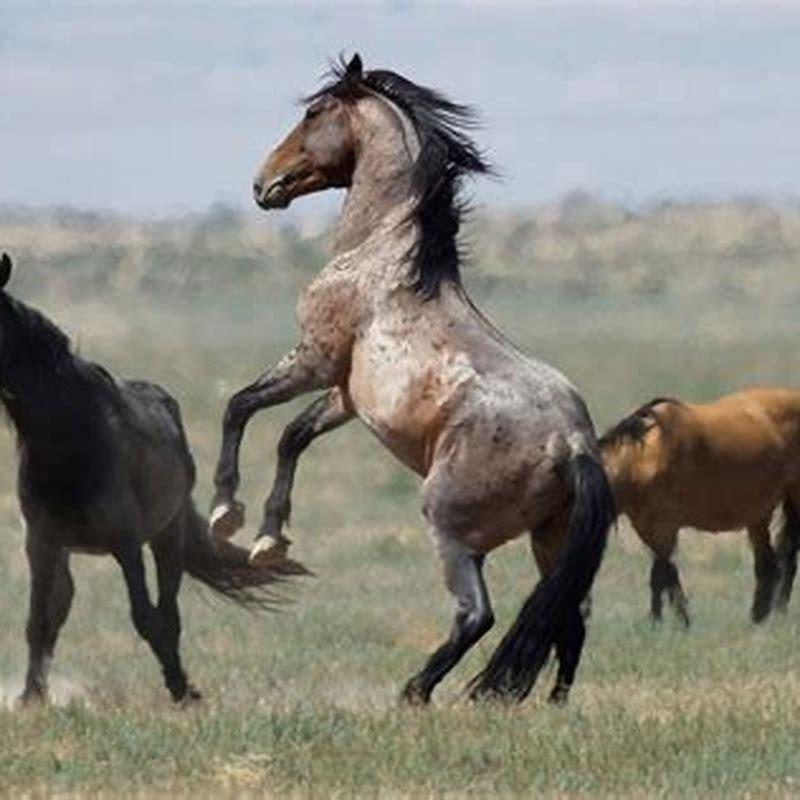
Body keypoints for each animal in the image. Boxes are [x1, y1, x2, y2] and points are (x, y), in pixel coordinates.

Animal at [0, 254, 303, 705]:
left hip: (166, 536)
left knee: (168, 611)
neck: (73, 436)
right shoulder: (41, 542)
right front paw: (29, 698)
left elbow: (146, 617)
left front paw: (182, 688)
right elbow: (38, 620)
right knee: (61, 606)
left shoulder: (126, 543)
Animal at [208, 54, 615, 705]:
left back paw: (416, 692)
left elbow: (240, 407)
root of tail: (574, 445)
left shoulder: (314, 361)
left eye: (314, 113)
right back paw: (548, 706)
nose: (262, 183)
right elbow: (292, 437)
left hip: (449, 526)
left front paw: (226, 511)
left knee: (478, 616)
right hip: (548, 542)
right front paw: (270, 539)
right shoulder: (345, 396)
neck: (384, 255)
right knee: (567, 618)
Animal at [599, 390, 800, 625]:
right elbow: (666, 574)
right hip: (758, 514)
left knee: (787, 556)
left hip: (793, 499)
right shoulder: (646, 528)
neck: (643, 461)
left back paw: (776, 612)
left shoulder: (665, 527)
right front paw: (676, 620)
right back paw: (759, 617)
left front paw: (663, 622)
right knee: (768, 563)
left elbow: (659, 576)